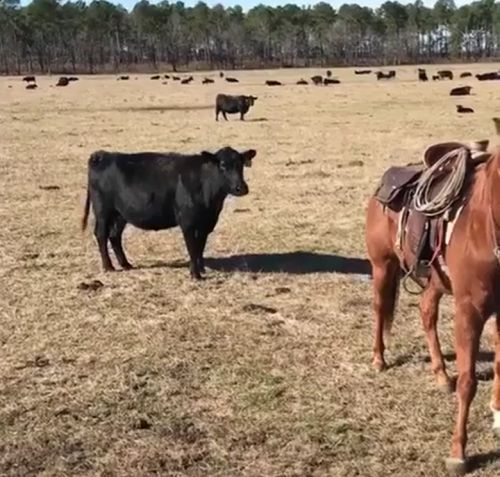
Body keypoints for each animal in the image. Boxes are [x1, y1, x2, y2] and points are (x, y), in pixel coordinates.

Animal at [81, 146, 258, 278]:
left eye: (241, 164)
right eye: (222, 165)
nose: (241, 188)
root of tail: (102, 155)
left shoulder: (206, 224)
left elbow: (200, 247)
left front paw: (201, 270)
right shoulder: (187, 222)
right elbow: (192, 248)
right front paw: (195, 275)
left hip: (120, 214)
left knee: (114, 236)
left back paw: (125, 264)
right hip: (103, 211)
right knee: (101, 234)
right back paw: (108, 266)